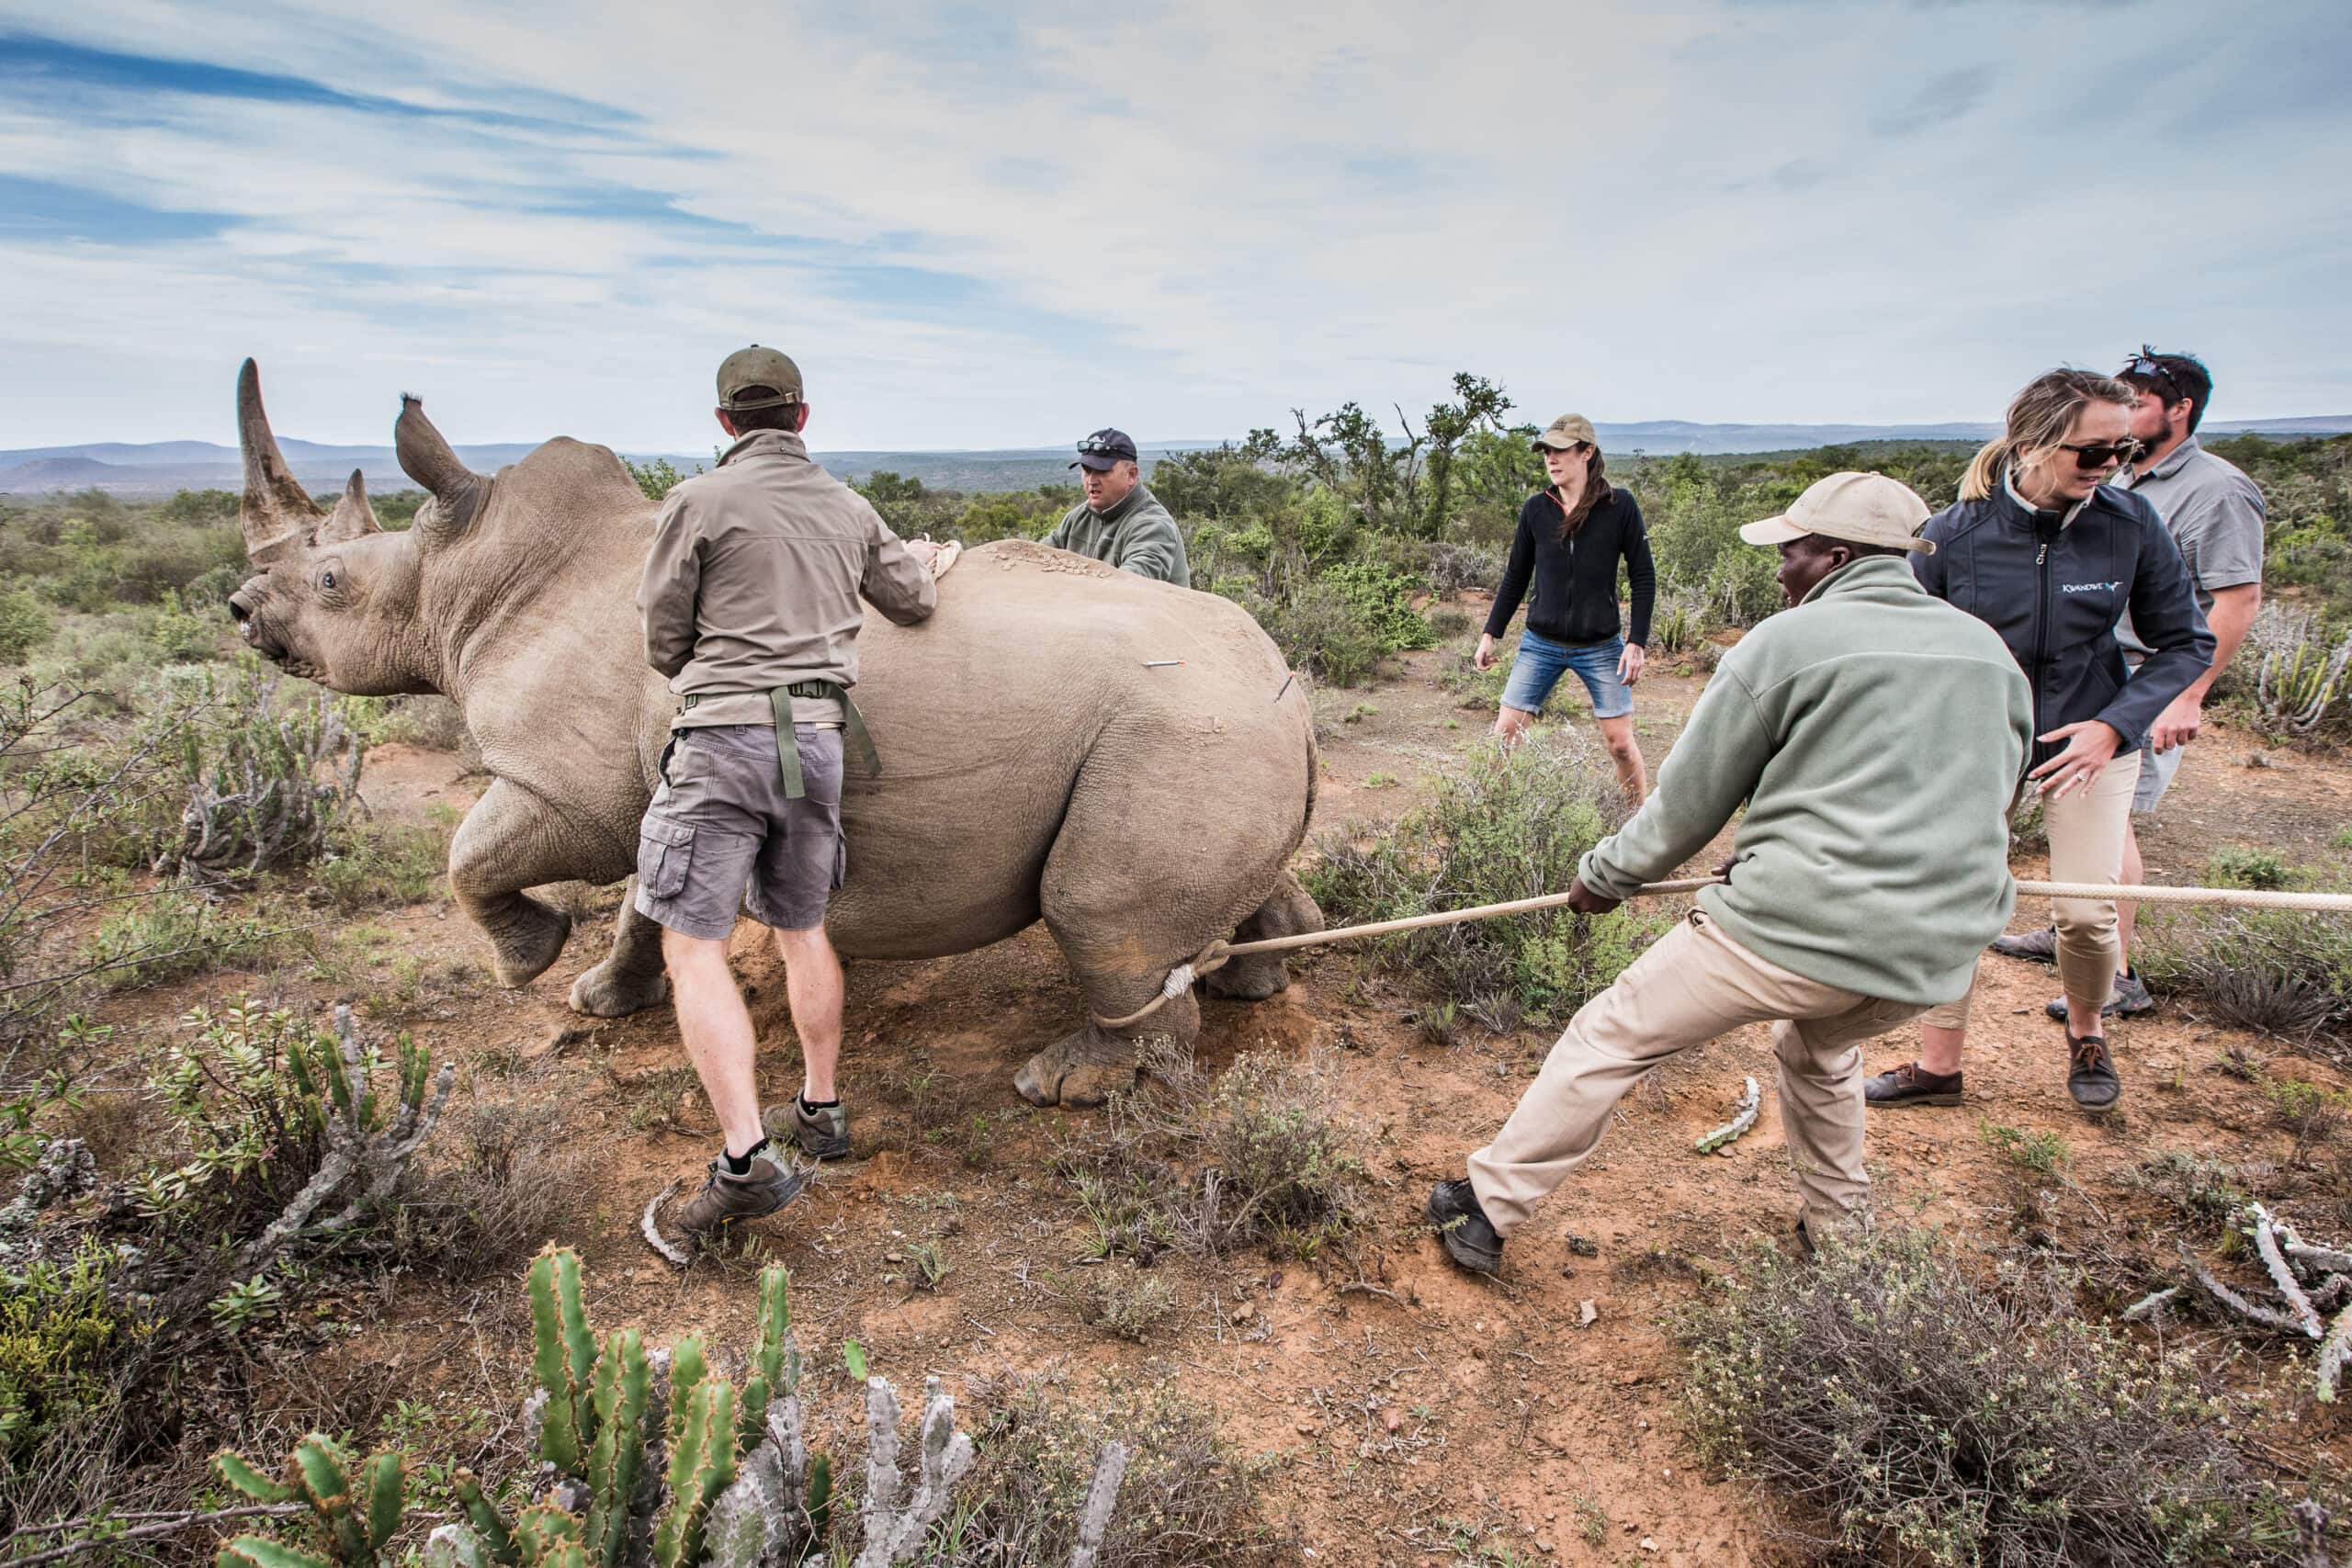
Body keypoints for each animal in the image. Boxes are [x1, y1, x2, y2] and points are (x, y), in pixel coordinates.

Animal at [229, 364, 1326, 1104]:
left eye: (331, 583)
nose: (239, 610)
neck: (463, 578)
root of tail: (1293, 691)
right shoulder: (650, 780)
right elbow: (639, 900)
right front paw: (599, 997)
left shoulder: (565, 788)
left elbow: (473, 854)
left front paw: (526, 962)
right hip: (1222, 727)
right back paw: (1256, 981)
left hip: (1177, 729)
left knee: (1095, 911)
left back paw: (1063, 1083)